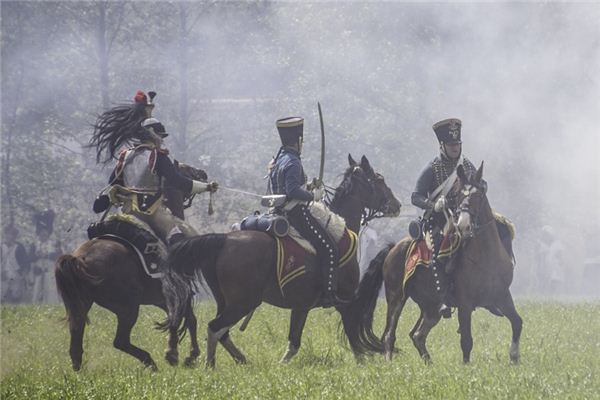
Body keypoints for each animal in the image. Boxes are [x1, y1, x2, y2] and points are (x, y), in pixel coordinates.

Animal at [55, 163, 209, 372]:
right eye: (185, 170)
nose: (203, 174)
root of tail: (80, 258)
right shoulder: (178, 292)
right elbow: (187, 319)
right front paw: (183, 355)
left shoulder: (163, 298)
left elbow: (179, 319)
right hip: (127, 309)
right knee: (120, 341)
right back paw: (150, 362)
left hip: (82, 305)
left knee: (76, 341)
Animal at [162, 155, 400, 368]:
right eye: (379, 180)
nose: (396, 205)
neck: (340, 232)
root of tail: (223, 239)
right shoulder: (345, 301)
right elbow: (353, 337)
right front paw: (364, 364)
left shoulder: (301, 306)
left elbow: (293, 343)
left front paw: (280, 366)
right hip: (243, 302)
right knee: (214, 328)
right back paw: (210, 365)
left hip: (226, 301)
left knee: (222, 332)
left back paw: (241, 360)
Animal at [354, 161, 524, 364]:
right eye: (458, 195)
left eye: (478, 195)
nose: (463, 225)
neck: (486, 257)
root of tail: (393, 248)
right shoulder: (465, 303)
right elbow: (466, 340)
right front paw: (467, 367)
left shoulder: (502, 295)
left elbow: (517, 322)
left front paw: (514, 358)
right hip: (396, 297)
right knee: (389, 334)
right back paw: (390, 363)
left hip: (430, 308)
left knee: (417, 335)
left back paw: (429, 363)